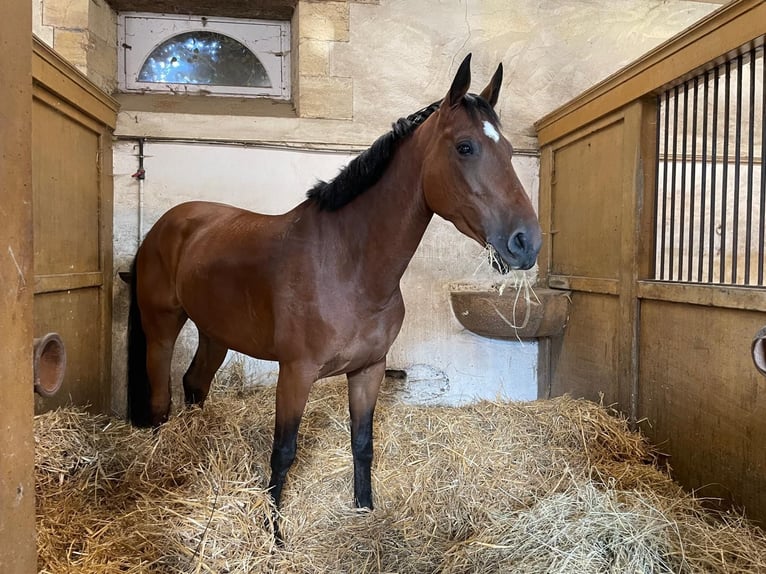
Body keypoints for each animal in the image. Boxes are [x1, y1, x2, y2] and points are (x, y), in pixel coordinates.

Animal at [127, 53, 542, 535]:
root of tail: (169, 224)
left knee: (195, 384)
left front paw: (364, 509)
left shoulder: (368, 370)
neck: (349, 266)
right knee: (161, 399)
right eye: (465, 147)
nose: (526, 243)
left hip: (216, 333)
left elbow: (362, 443)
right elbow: (284, 451)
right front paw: (274, 533)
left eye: (510, 152)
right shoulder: (296, 373)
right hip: (162, 328)